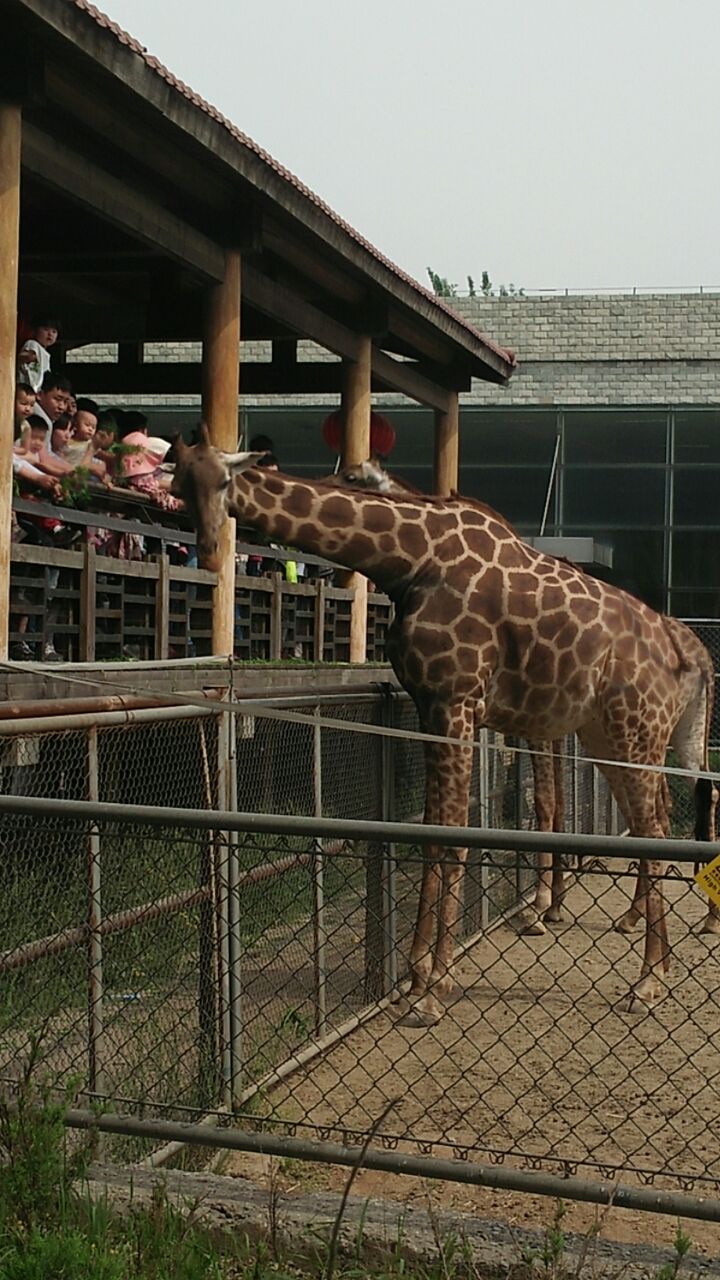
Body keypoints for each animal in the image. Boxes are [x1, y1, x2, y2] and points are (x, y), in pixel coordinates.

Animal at [174, 430, 717, 1029]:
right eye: (178, 482)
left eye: (217, 482)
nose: (209, 550)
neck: (414, 557)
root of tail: (685, 653)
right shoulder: (433, 706)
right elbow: (434, 831)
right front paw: (419, 972)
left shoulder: (459, 703)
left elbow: (466, 832)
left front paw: (437, 985)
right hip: (615, 737)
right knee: (656, 822)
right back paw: (653, 952)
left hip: (636, 731)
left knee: (658, 829)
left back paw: (650, 979)